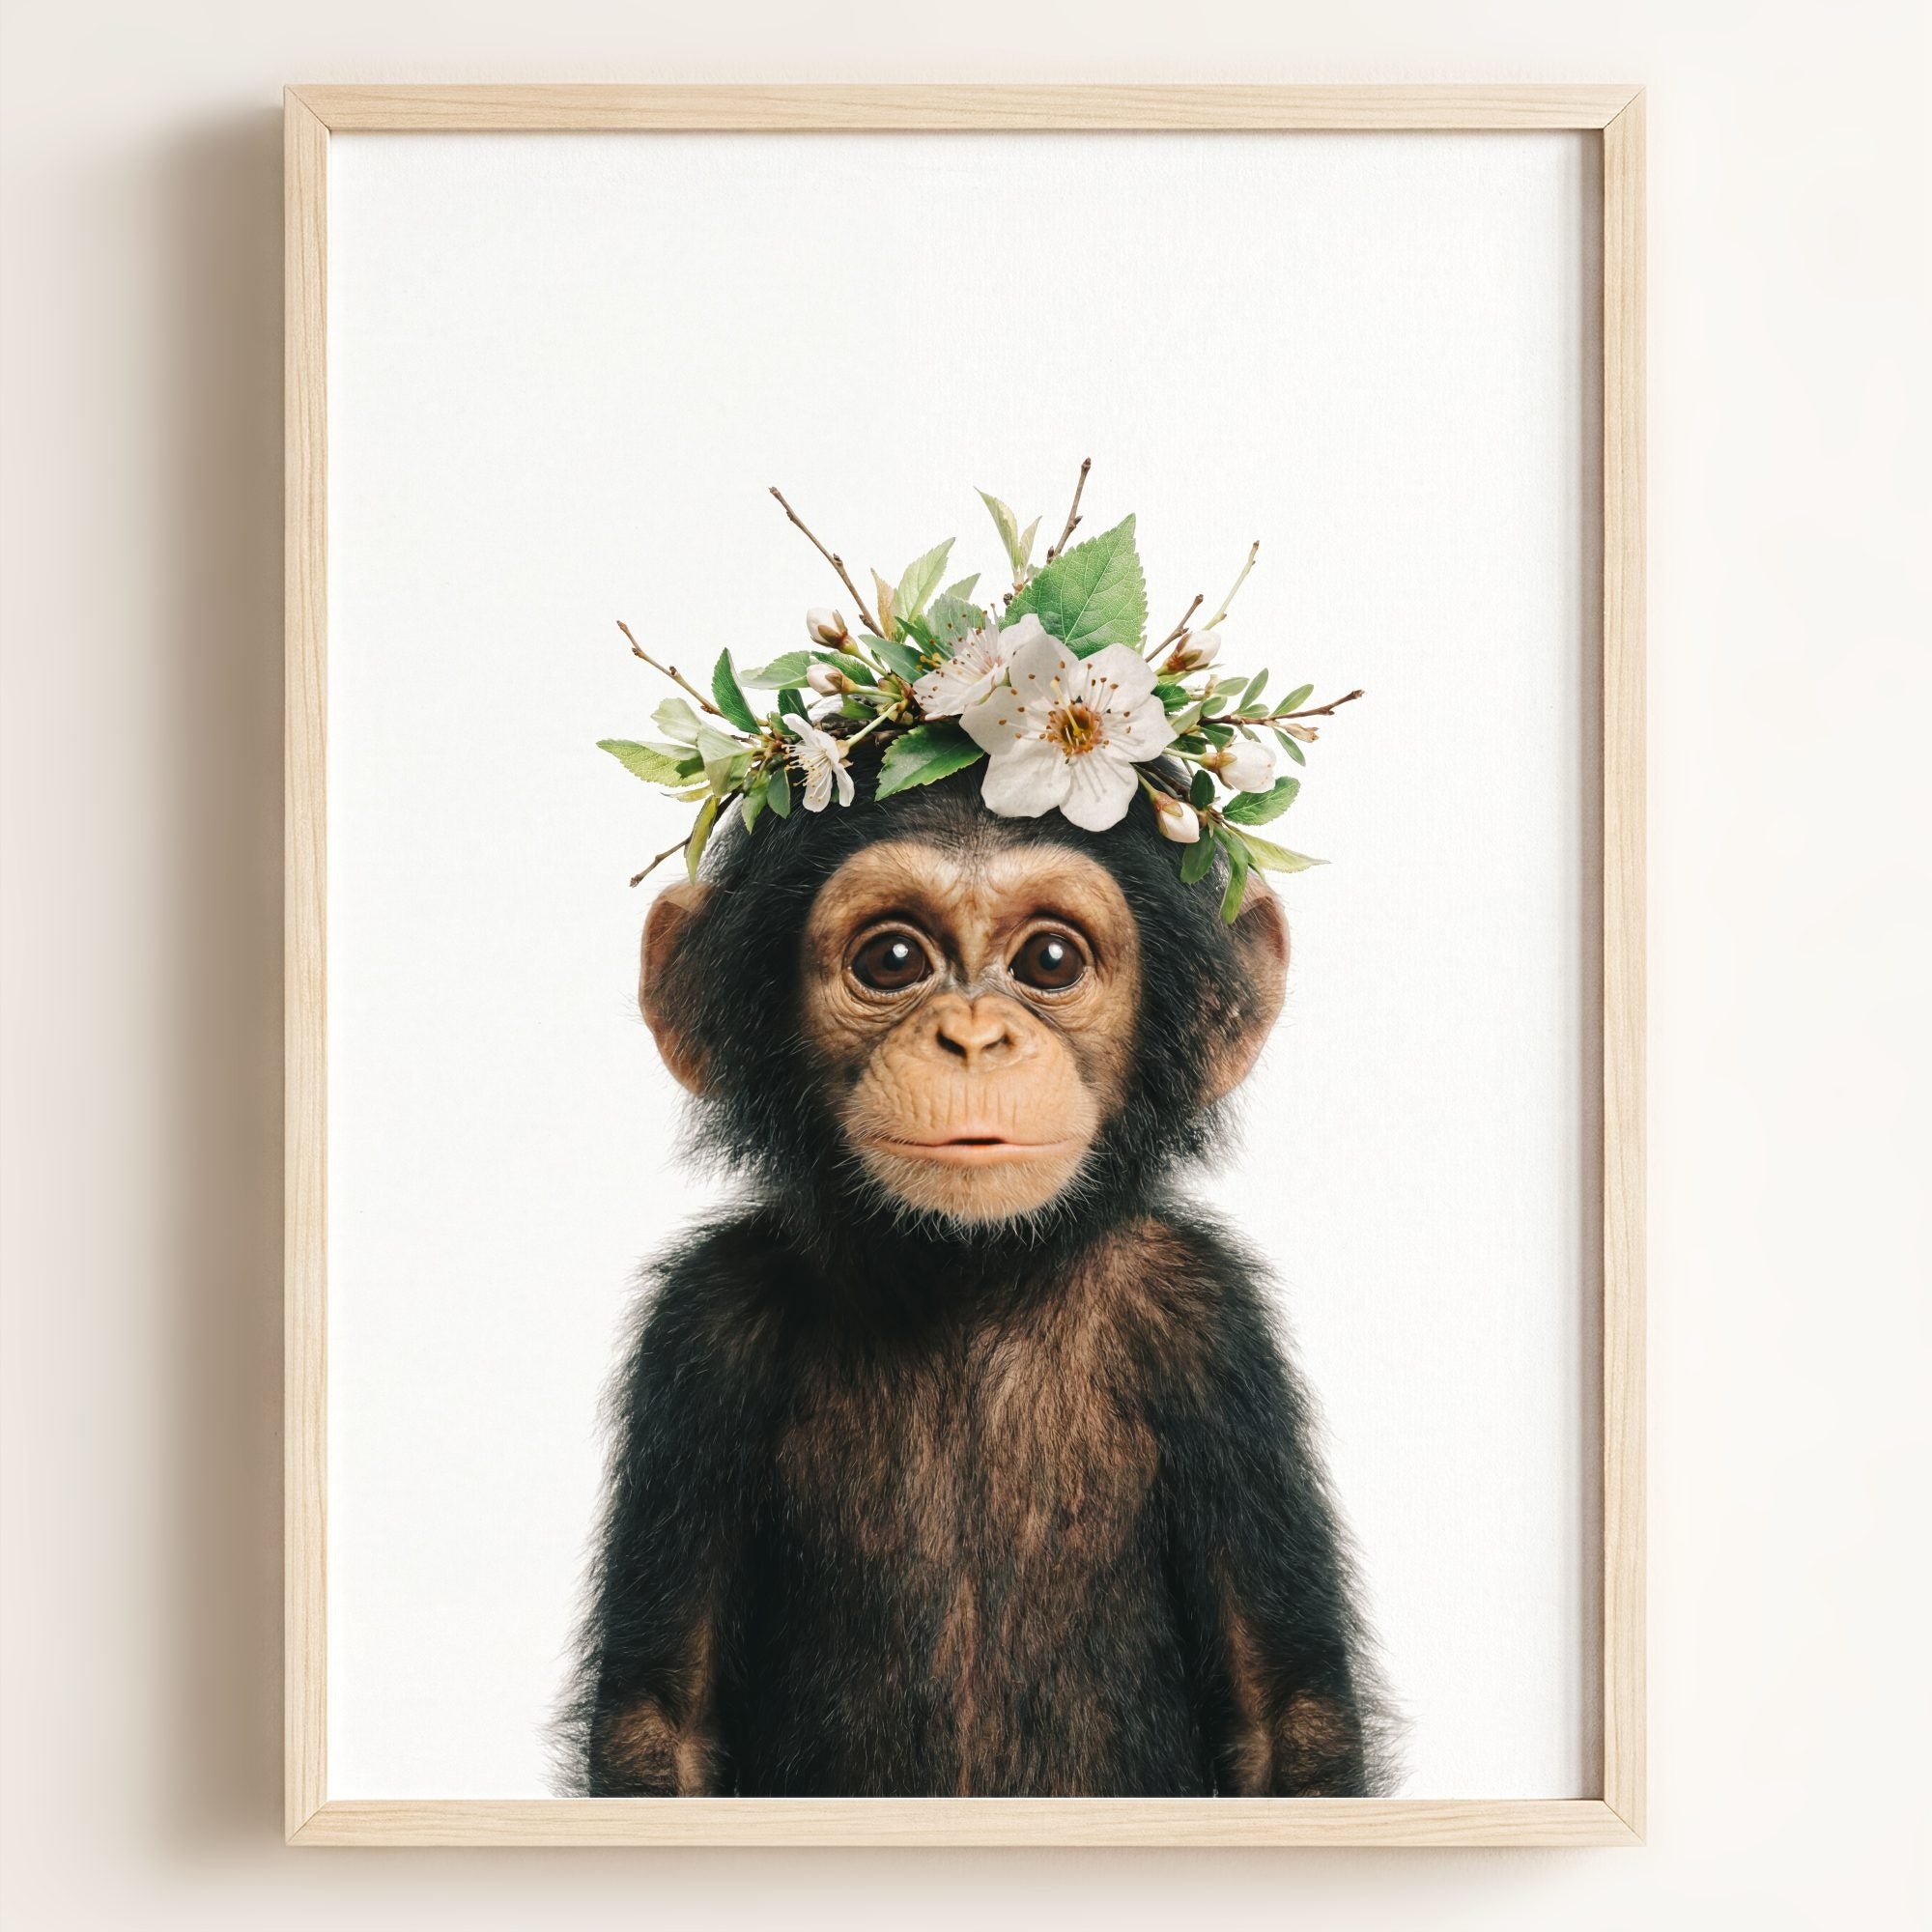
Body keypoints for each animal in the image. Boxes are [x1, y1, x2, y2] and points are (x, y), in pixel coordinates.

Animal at [561, 745, 1393, 1798]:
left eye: (1049, 961)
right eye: (892, 959)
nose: (971, 1036)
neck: (967, 1277)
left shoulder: (1211, 1324)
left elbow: (1282, 1713)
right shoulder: (702, 1327)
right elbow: (663, 1716)